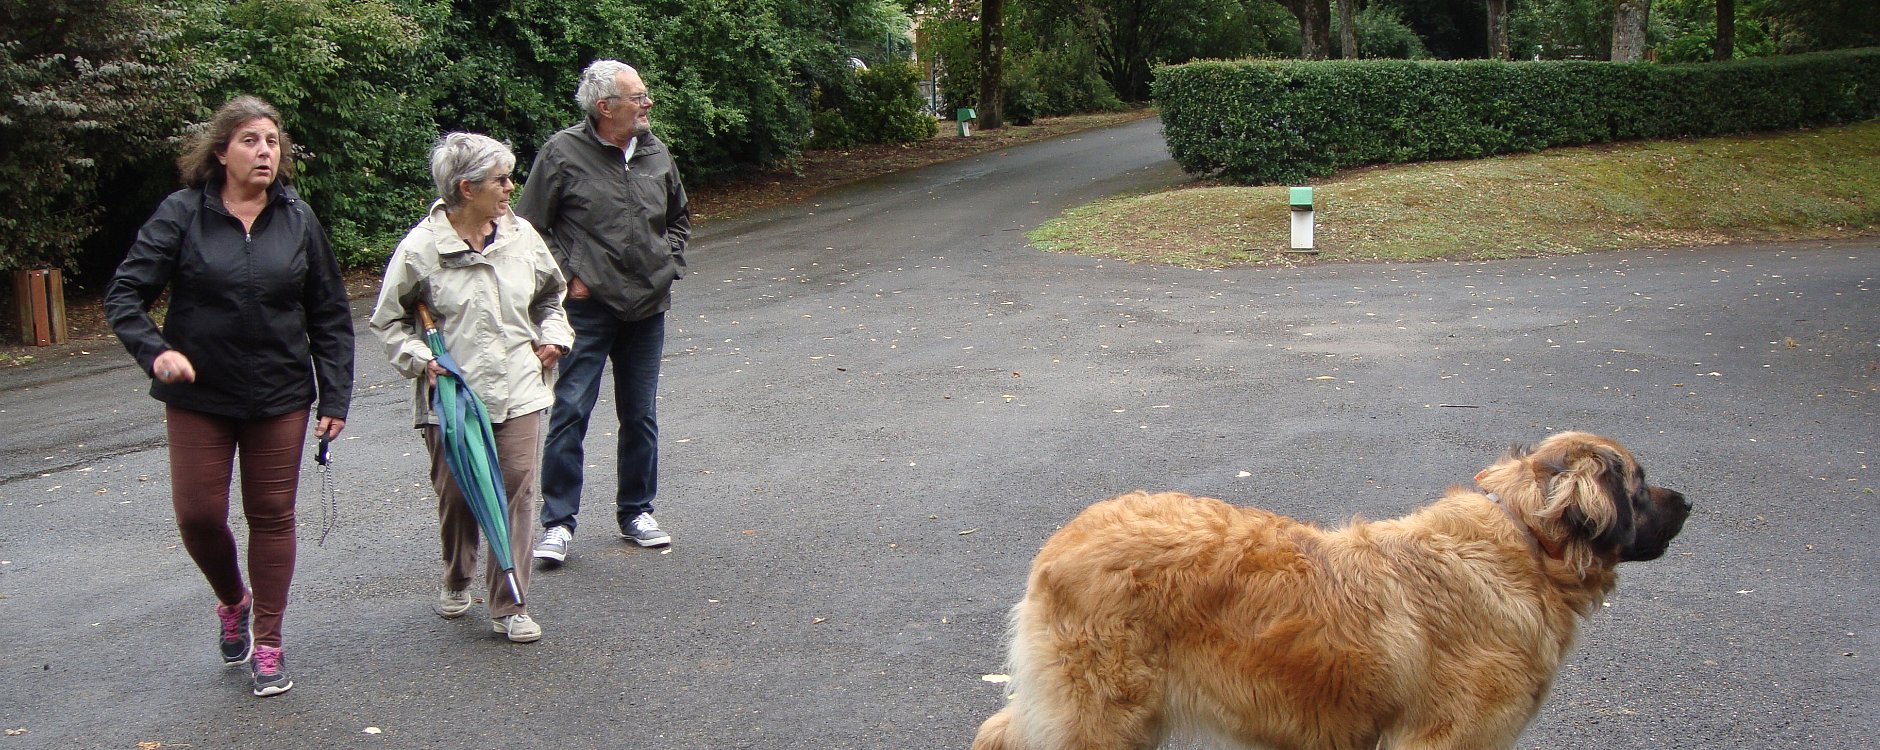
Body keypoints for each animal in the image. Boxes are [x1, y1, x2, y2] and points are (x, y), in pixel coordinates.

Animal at [972, 431, 1691, 750]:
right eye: (1639, 482)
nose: (1690, 502)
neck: (1526, 545)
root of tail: (1060, 541)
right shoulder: (1438, 739)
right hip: (1104, 717)